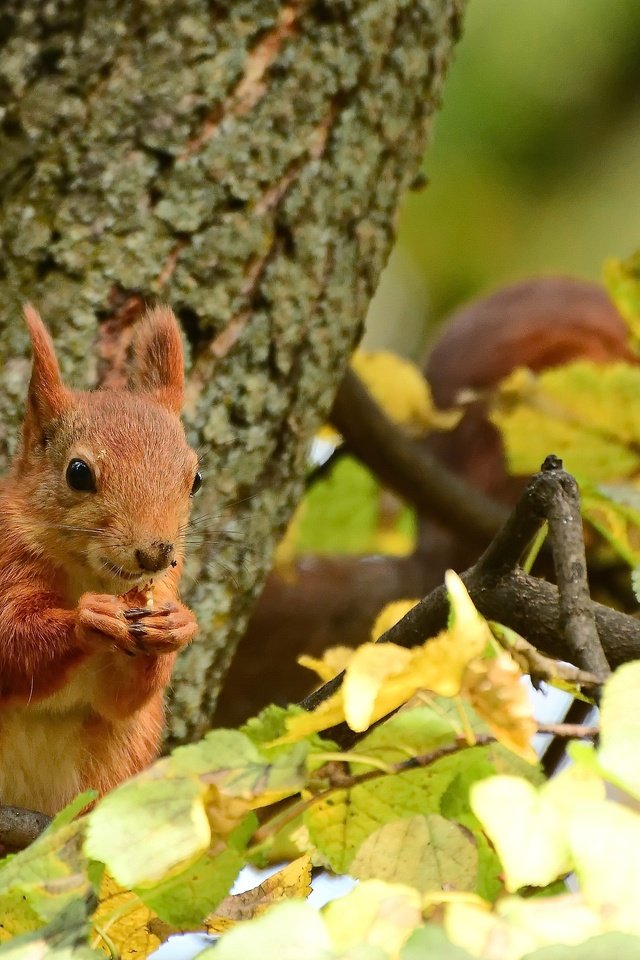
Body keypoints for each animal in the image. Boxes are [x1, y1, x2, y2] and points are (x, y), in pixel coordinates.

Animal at [0, 304, 199, 812]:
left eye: (196, 479)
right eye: (78, 472)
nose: (155, 553)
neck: (89, 573)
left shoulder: (164, 583)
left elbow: (122, 700)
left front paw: (179, 625)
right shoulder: (6, 556)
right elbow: (10, 643)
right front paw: (88, 618)